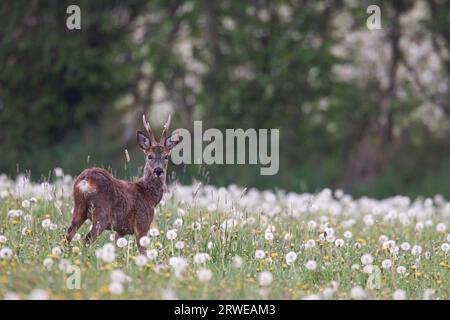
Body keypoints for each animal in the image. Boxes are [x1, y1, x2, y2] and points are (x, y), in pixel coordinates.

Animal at [64, 115, 179, 252]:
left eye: (166, 156)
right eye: (149, 156)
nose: (158, 170)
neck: (149, 196)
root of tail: (85, 180)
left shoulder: (121, 230)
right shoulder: (142, 223)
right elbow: (142, 251)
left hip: (78, 208)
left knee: (68, 234)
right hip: (101, 214)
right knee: (86, 240)